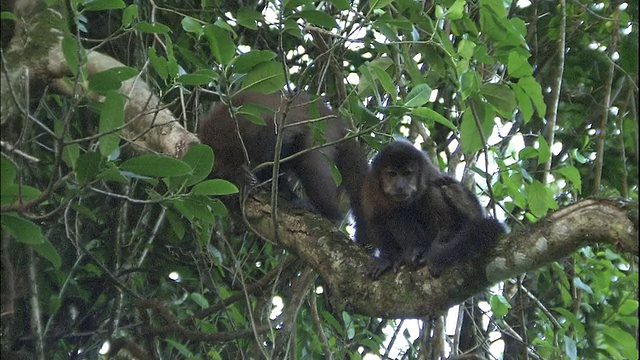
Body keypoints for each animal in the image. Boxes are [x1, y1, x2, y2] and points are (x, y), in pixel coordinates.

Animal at [198, 90, 364, 219]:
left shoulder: (249, 126)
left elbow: (275, 137)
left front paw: (250, 175)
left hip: (323, 130)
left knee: (309, 163)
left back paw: (328, 212)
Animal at [356, 140, 504, 278]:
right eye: (392, 174)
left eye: (407, 173)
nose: (400, 186)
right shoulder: (370, 188)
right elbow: (375, 222)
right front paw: (388, 258)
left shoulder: (429, 176)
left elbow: (448, 218)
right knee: (396, 214)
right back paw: (413, 250)